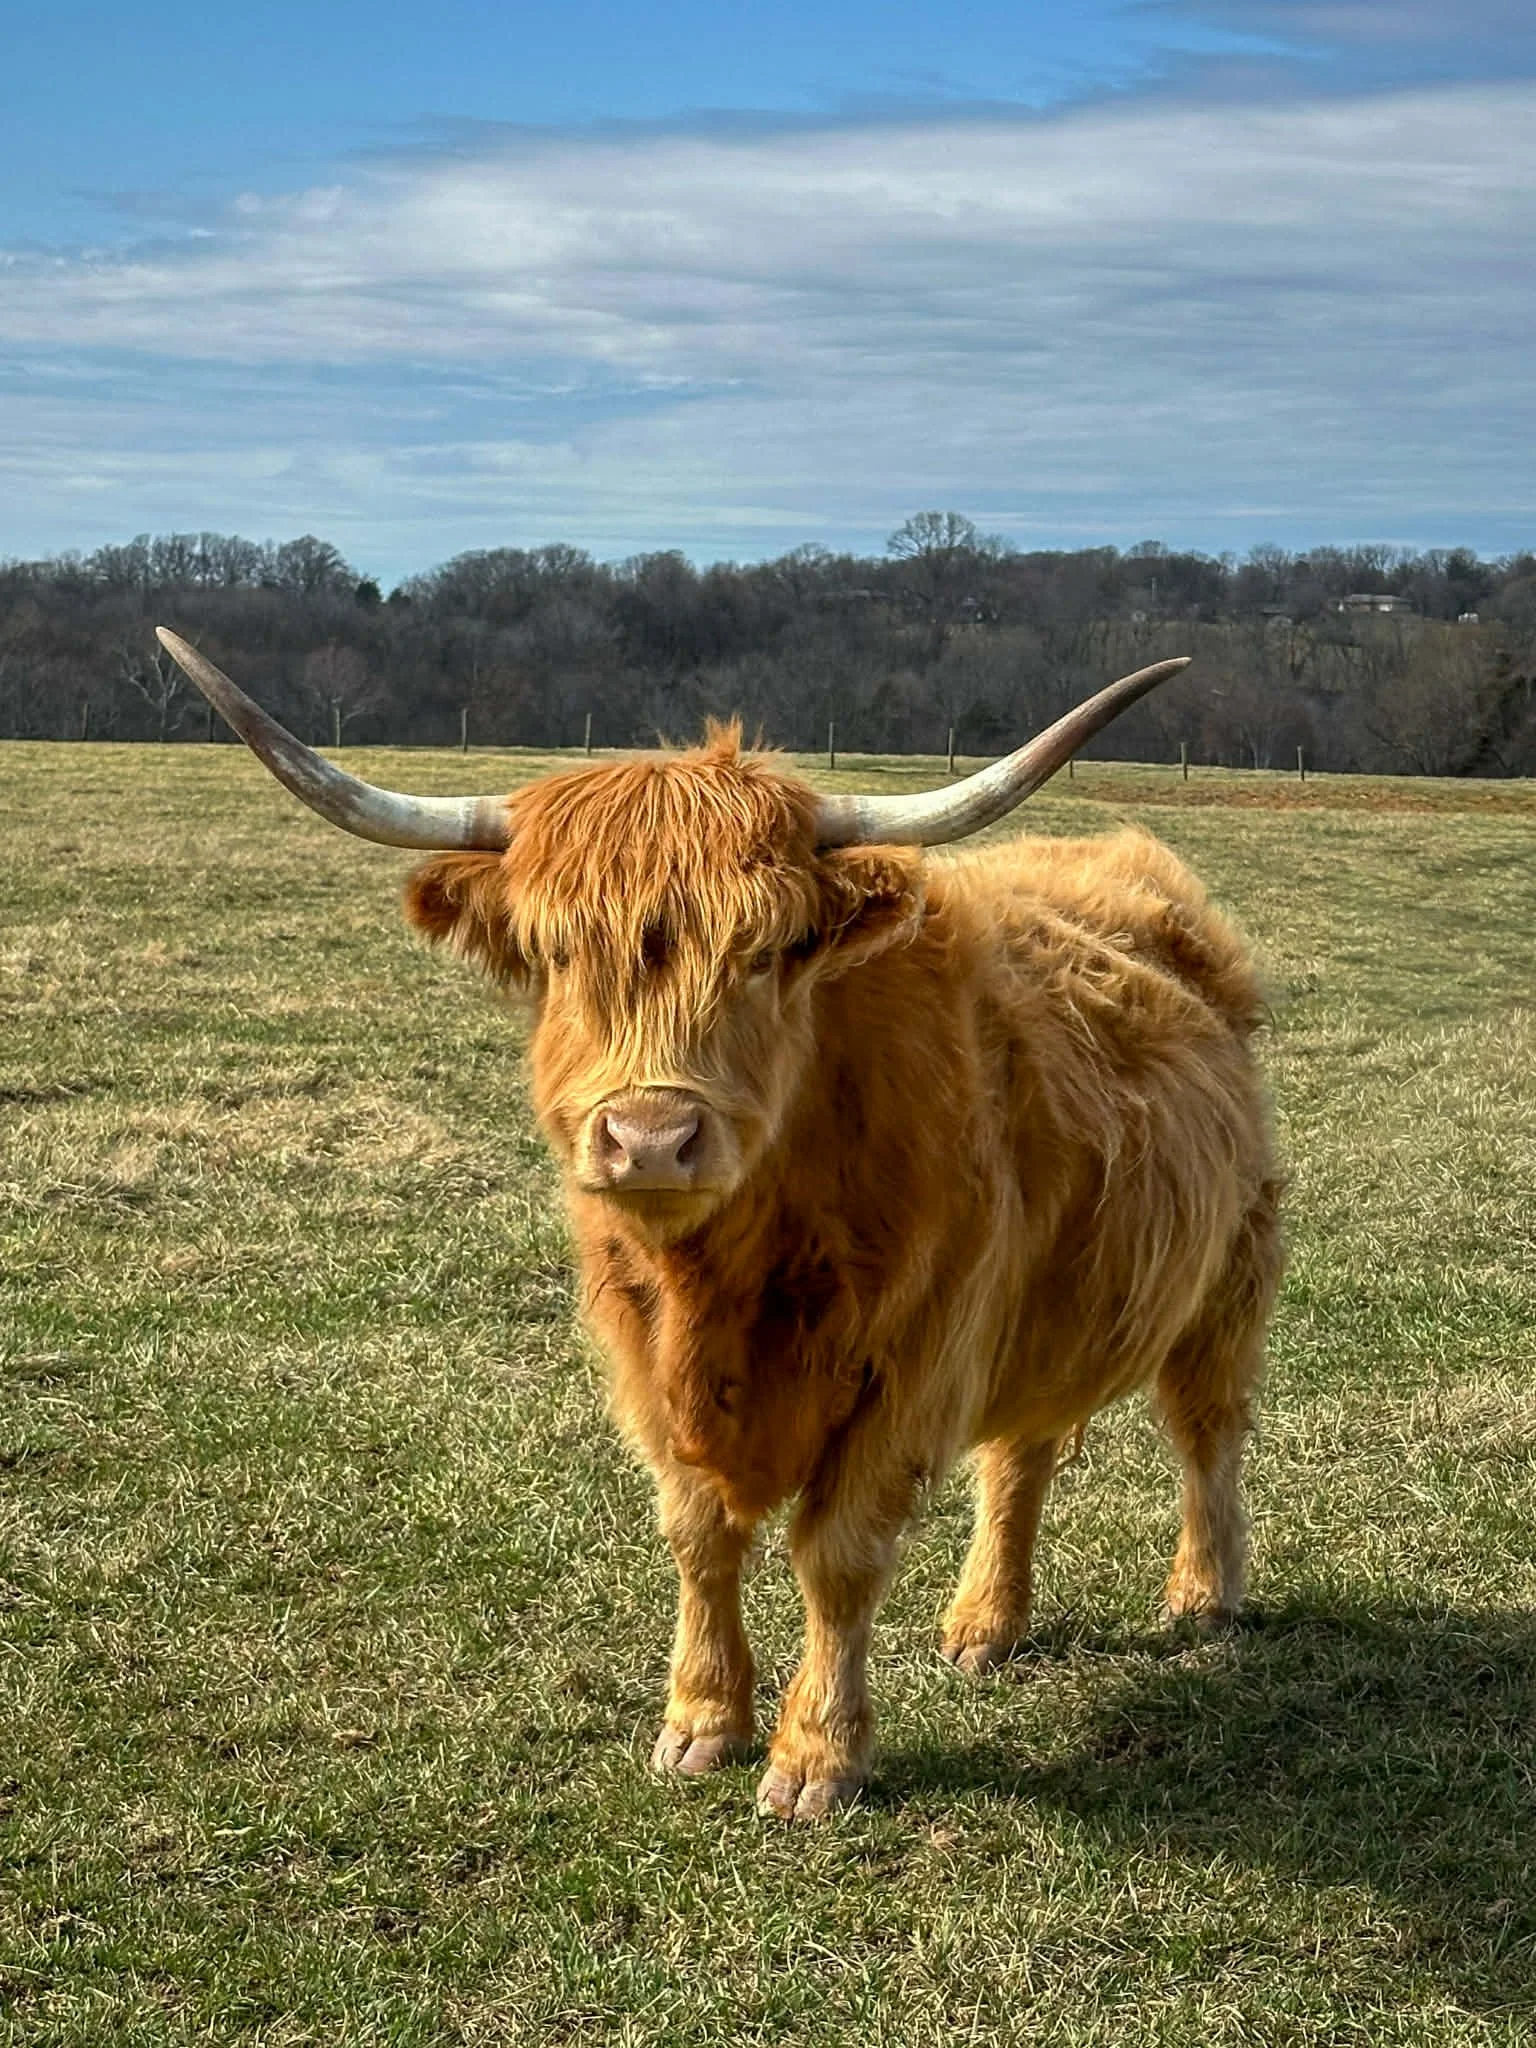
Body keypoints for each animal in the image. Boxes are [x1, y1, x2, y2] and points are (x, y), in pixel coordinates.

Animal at [156, 628, 1283, 1822]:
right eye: (558, 953)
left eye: (770, 951)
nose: (650, 1138)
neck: (733, 1278)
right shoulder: (645, 1359)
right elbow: (698, 1533)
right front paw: (700, 1720)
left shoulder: (916, 1359)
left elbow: (837, 1554)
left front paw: (816, 1757)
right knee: (1018, 1455)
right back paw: (985, 1624)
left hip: (1231, 1273)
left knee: (1206, 1429)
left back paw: (1204, 1595)